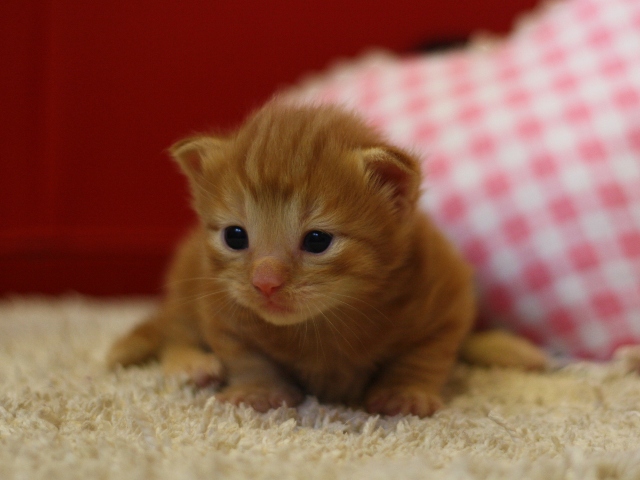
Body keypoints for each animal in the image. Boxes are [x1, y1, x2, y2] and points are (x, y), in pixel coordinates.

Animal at [107, 100, 548, 416]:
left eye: (318, 241)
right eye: (235, 236)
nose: (265, 282)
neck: (323, 322)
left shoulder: (445, 293)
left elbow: (426, 354)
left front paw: (404, 393)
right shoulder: (221, 307)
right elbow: (245, 355)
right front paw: (258, 390)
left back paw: (510, 350)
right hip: (185, 284)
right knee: (174, 332)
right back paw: (191, 365)